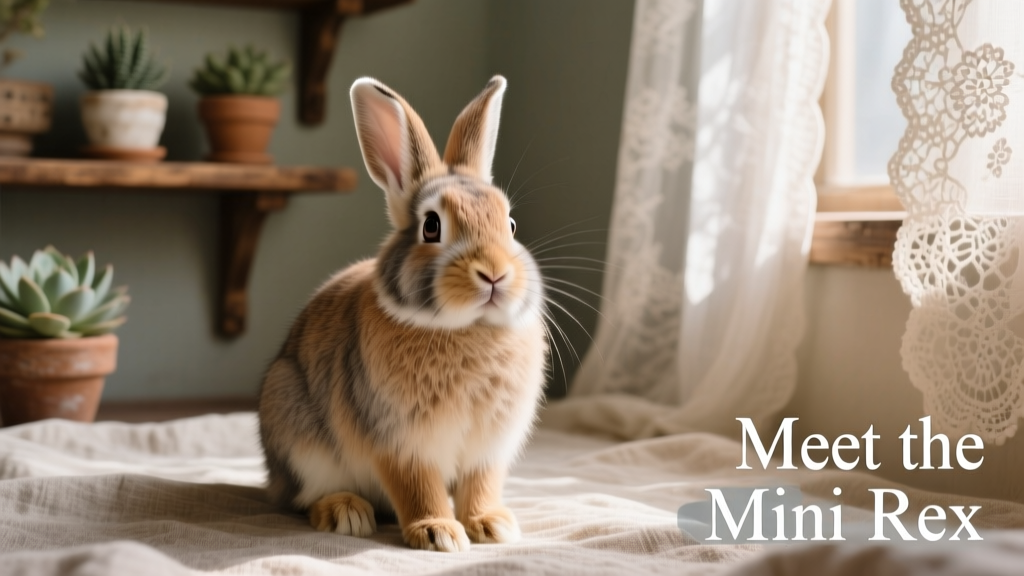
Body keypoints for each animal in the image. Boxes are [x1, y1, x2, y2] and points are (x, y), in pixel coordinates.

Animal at [258, 75, 548, 552]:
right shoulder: (400, 443)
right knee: (305, 498)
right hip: (296, 431)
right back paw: (345, 512)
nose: (495, 274)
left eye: (510, 226)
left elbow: (481, 486)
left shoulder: (487, 450)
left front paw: (492, 525)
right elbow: (418, 488)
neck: (466, 329)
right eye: (431, 226)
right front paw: (438, 533)